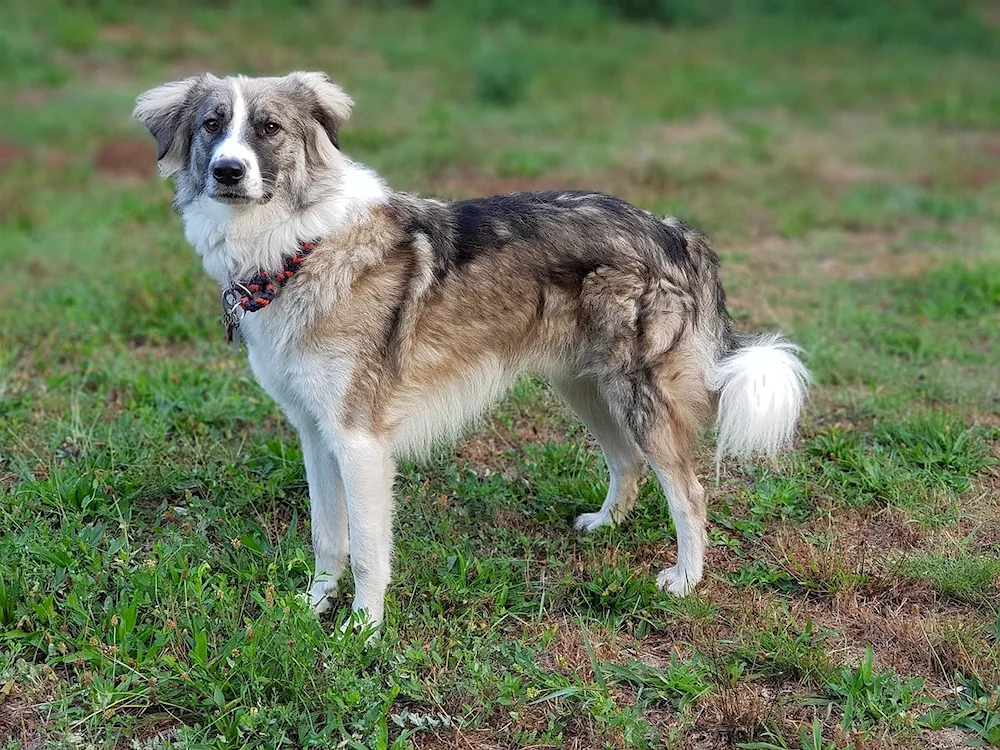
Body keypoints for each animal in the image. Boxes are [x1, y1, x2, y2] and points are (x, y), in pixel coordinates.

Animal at [133, 72, 808, 628]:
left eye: (269, 128)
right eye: (212, 125)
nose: (228, 171)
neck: (298, 245)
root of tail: (672, 230)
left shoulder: (359, 441)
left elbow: (367, 551)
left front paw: (362, 630)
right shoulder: (315, 433)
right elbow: (329, 538)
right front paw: (314, 605)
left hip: (637, 394)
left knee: (688, 493)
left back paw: (685, 579)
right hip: (585, 386)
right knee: (628, 462)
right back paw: (604, 525)